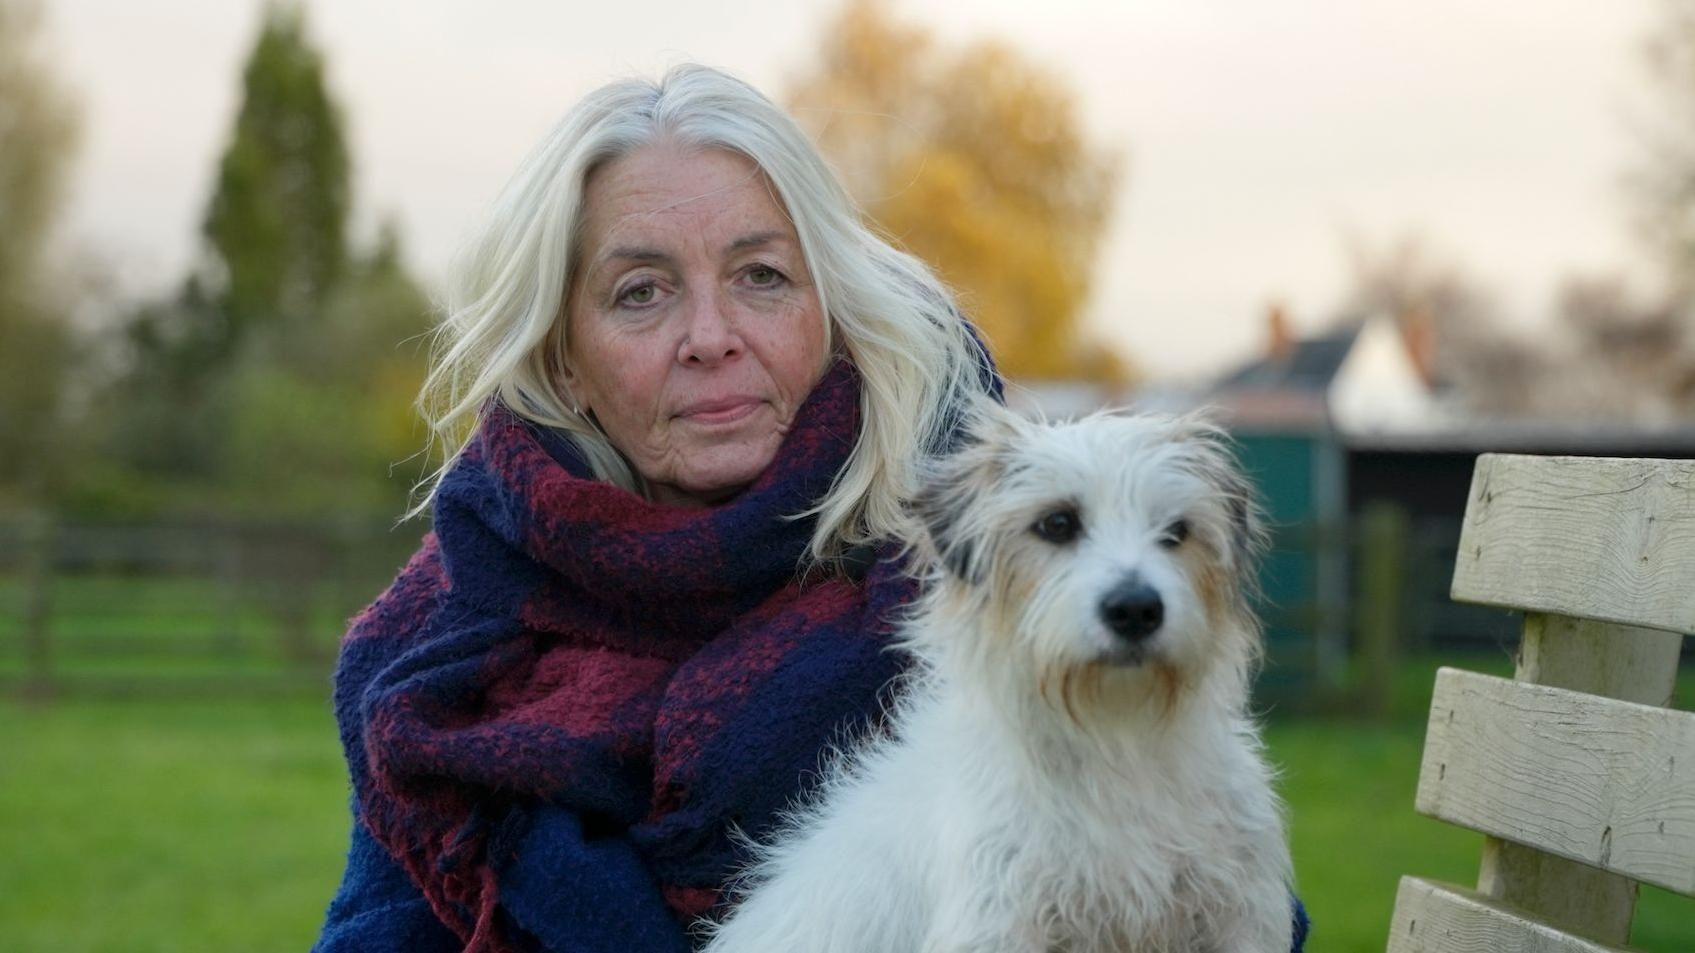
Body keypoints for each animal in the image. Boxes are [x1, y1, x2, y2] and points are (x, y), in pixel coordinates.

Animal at [705, 401, 1294, 949]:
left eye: (1177, 531)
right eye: (1057, 523)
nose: (1135, 610)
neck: (1117, 737)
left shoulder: (1242, 920)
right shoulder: (995, 924)